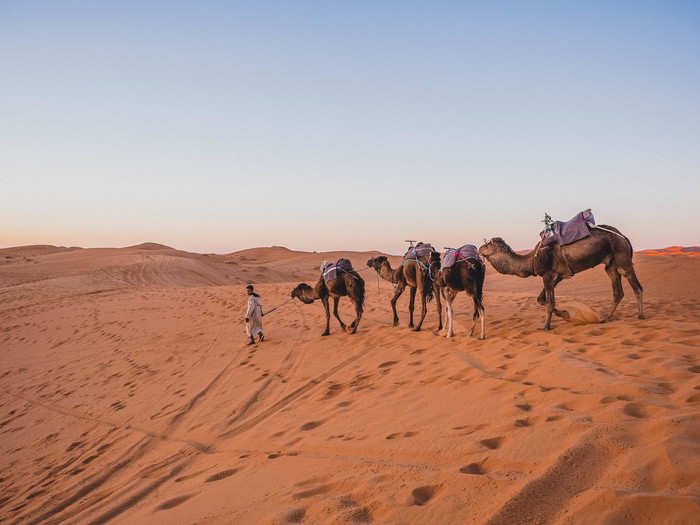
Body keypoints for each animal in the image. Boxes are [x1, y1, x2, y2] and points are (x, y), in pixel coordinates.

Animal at [478, 224, 644, 328]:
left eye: (488, 244)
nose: (479, 248)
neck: (531, 259)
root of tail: (624, 236)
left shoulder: (547, 275)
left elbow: (549, 303)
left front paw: (546, 326)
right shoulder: (558, 276)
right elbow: (542, 300)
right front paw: (565, 314)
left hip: (622, 257)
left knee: (637, 286)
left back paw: (641, 316)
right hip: (610, 264)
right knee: (618, 291)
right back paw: (606, 318)